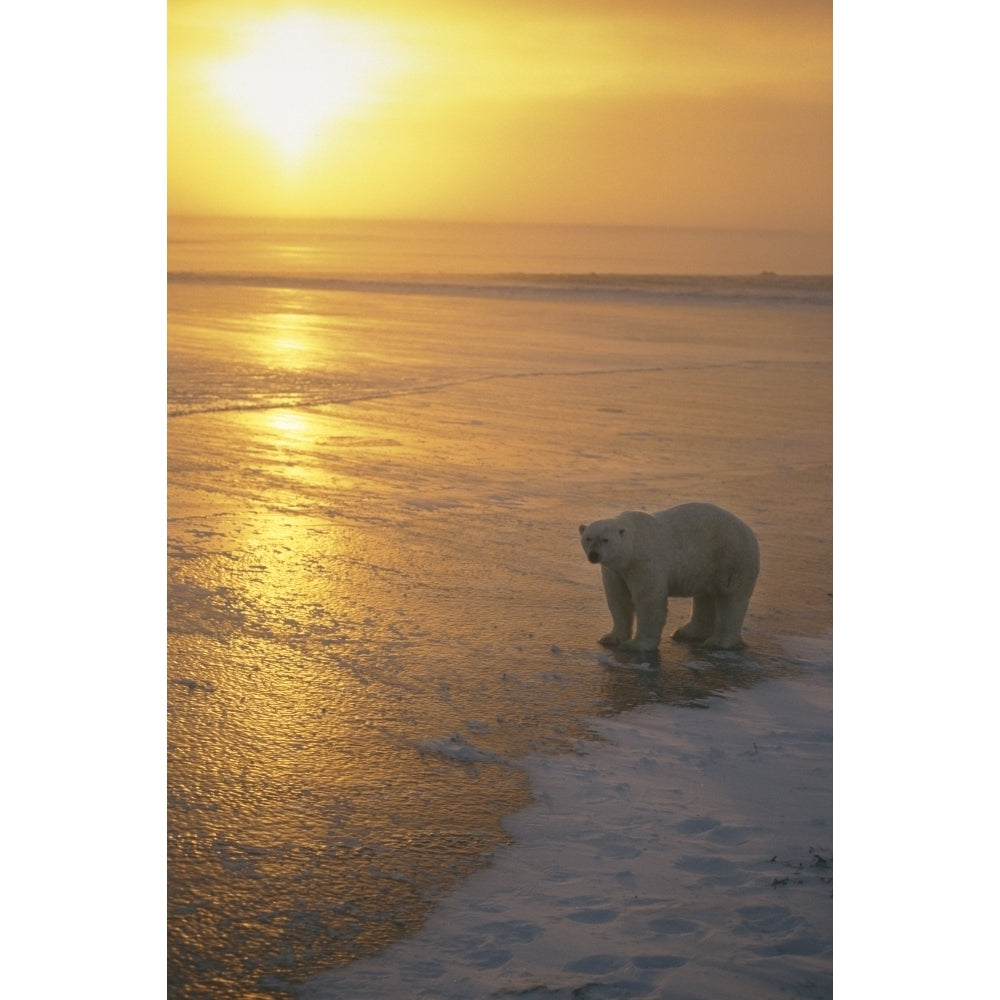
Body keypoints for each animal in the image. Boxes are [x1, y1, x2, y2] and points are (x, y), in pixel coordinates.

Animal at [580, 504, 756, 652]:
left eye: (605, 540)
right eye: (588, 538)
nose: (594, 555)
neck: (633, 547)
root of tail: (749, 530)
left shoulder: (644, 561)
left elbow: (649, 599)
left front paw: (636, 645)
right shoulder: (615, 571)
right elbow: (618, 599)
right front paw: (610, 637)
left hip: (731, 560)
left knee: (731, 598)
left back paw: (718, 642)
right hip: (707, 567)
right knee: (705, 596)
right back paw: (687, 632)